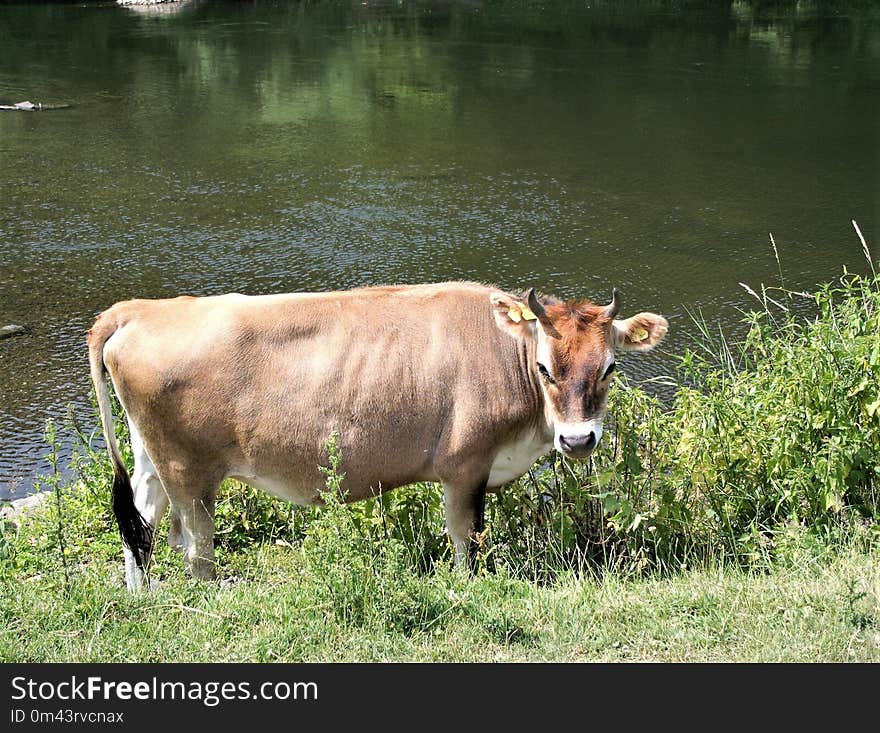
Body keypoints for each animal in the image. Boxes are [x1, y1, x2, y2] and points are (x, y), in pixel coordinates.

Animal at [89, 280, 668, 588]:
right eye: (546, 367)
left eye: (610, 367)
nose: (578, 441)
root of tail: (137, 310)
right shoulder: (465, 464)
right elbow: (465, 534)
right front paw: (466, 586)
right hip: (189, 472)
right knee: (195, 547)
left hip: (151, 459)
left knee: (139, 521)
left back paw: (142, 594)